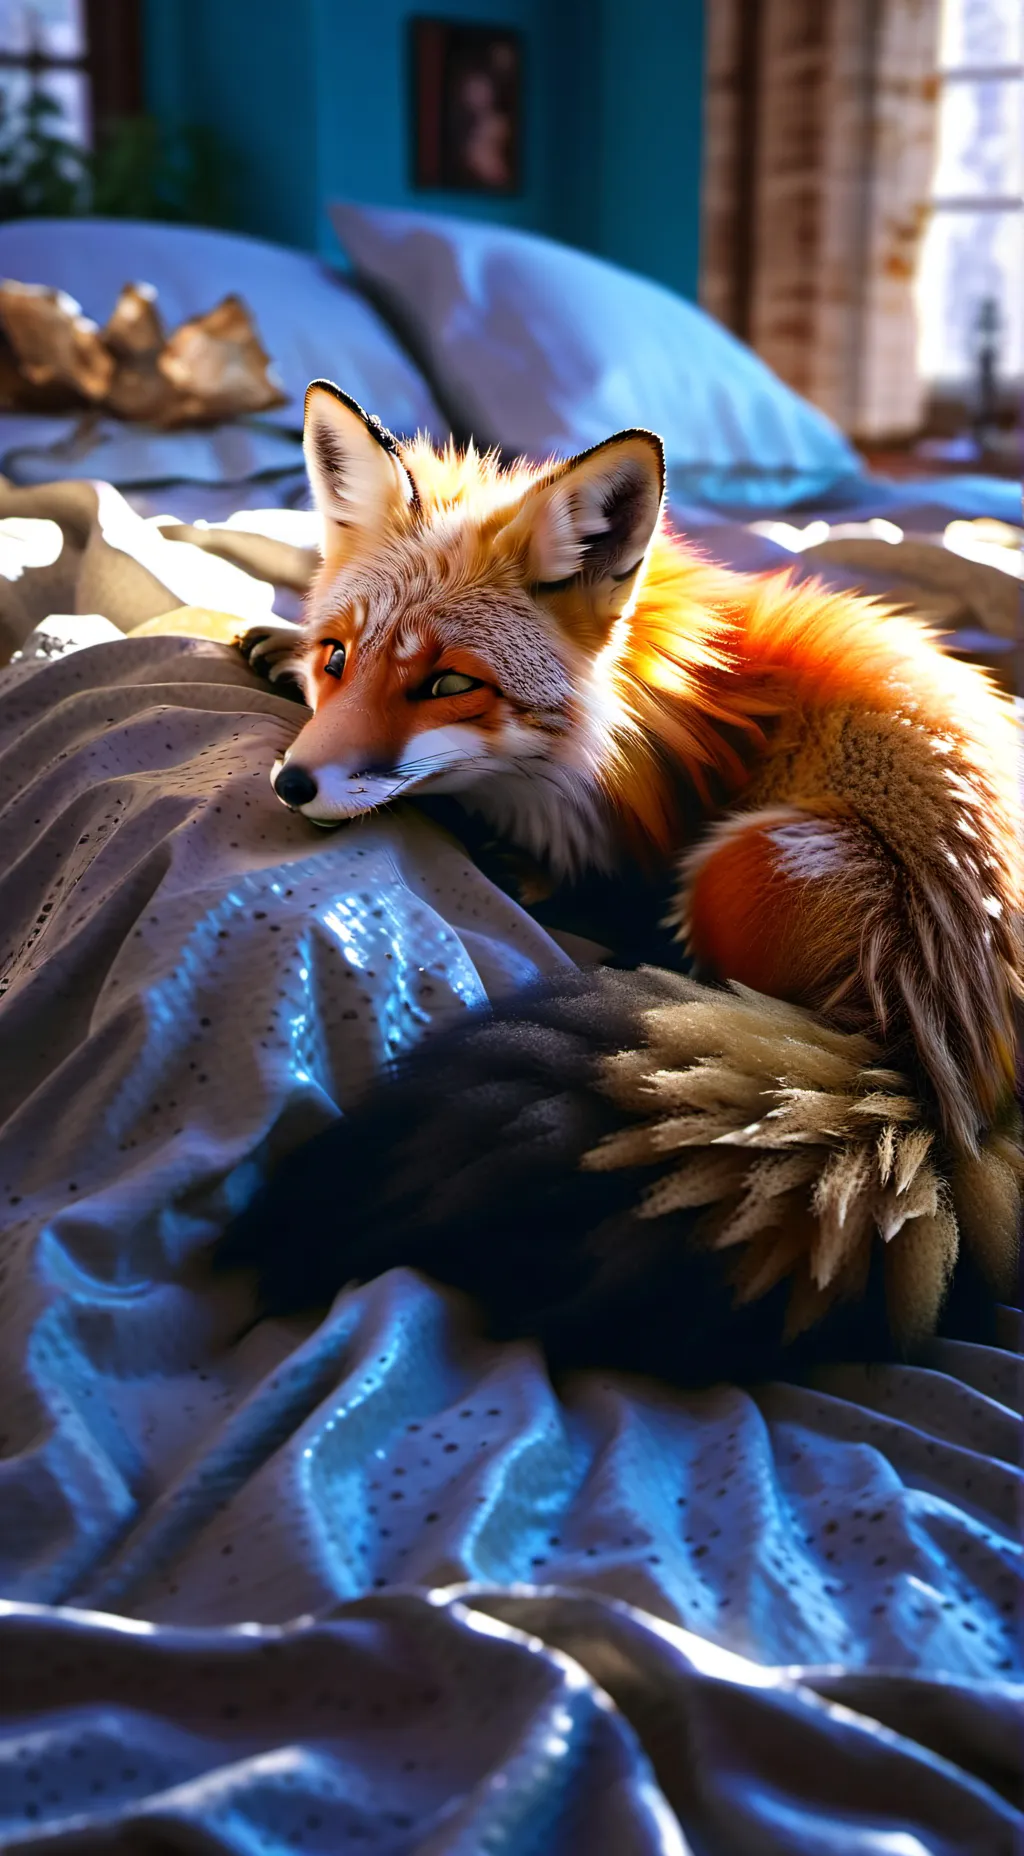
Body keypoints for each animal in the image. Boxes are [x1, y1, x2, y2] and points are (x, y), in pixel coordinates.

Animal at [215, 380, 1022, 1381]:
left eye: (447, 684)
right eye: (339, 658)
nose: (291, 784)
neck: (653, 694)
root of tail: (939, 1094)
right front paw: (278, 641)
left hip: (739, 861)